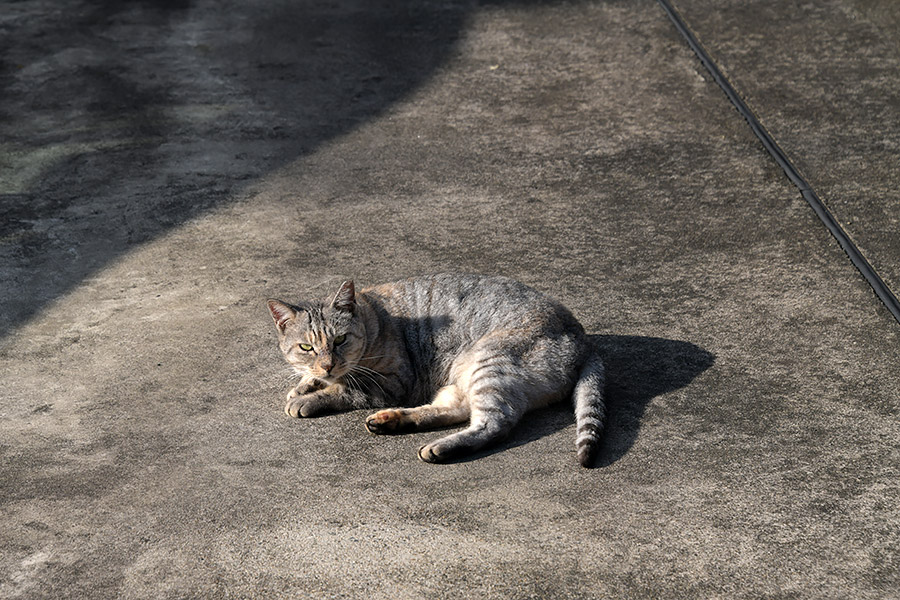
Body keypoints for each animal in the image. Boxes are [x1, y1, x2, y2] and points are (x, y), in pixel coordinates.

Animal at [266, 274, 604, 466]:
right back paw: (393, 421)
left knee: (493, 424)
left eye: (340, 340)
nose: (328, 363)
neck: (373, 315)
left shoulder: (395, 382)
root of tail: (582, 335)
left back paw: (439, 447)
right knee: (457, 409)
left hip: (489, 362)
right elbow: (318, 379)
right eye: (306, 347)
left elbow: (345, 389)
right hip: (463, 376)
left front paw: (309, 398)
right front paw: (305, 383)